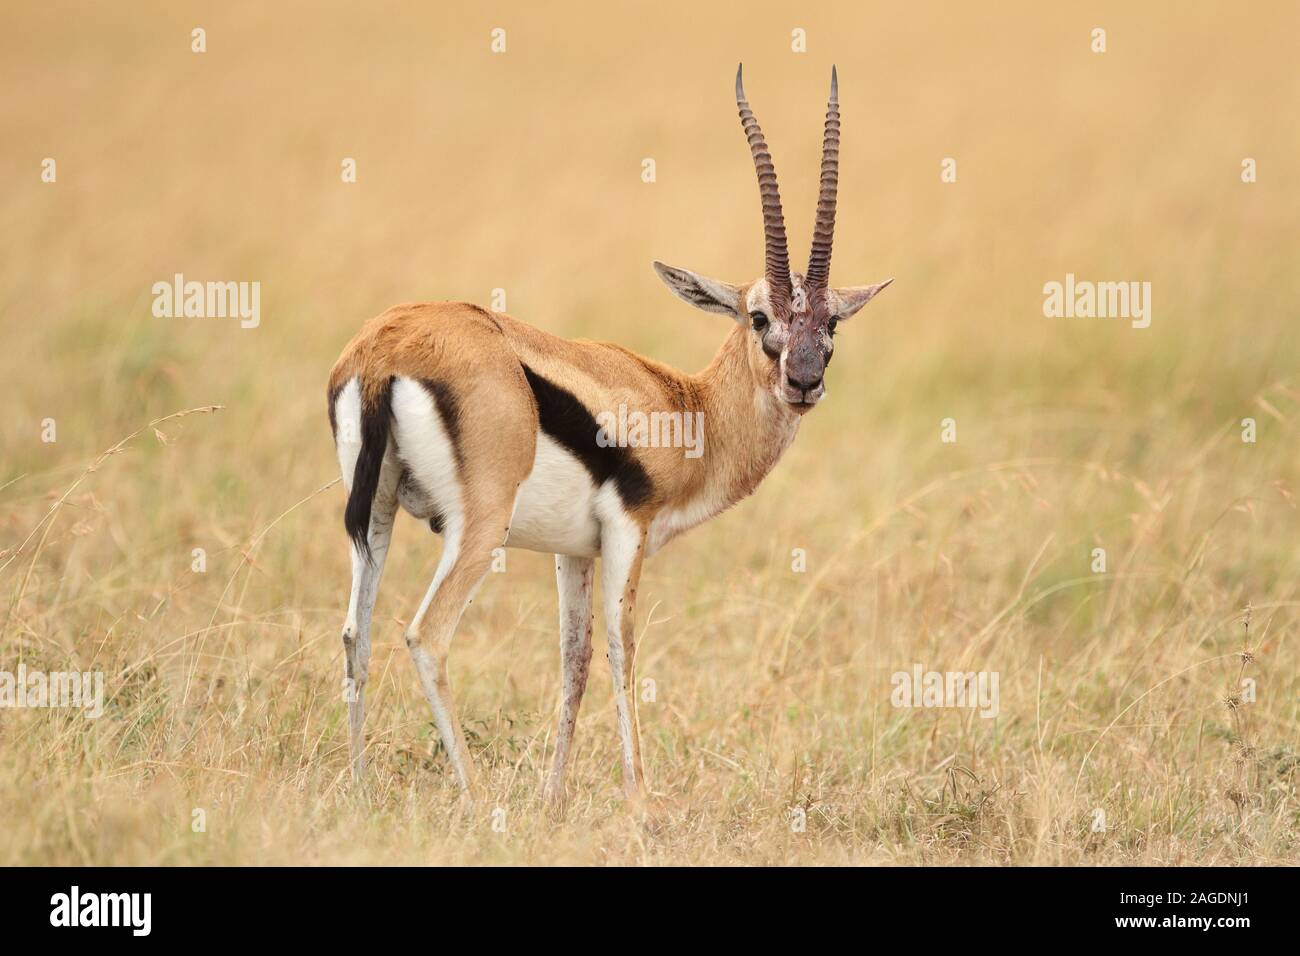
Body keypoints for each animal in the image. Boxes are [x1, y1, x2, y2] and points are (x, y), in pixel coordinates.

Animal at [327, 65, 892, 803]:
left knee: (354, 635)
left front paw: (553, 800)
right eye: (759, 316)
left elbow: (574, 660)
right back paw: (475, 801)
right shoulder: (630, 530)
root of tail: (384, 349)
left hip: (378, 515)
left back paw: (360, 788)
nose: (803, 382)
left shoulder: (574, 551)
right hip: (476, 530)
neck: (687, 405)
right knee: (427, 635)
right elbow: (623, 651)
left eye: (831, 323)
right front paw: (642, 806)